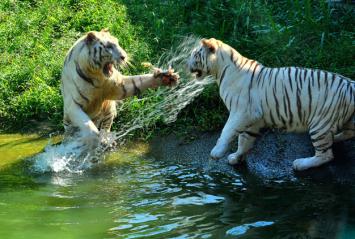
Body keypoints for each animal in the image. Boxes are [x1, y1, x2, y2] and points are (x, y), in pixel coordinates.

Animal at [188, 37, 354, 170]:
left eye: (195, 54)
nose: (186, 64)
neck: (221, 70)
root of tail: (351, 85)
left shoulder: (241, 112)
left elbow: (227, 131)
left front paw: (216, 153)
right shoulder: (252, 118)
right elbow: (244, 139)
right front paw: (237, 157)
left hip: (320, 123)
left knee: (326, 155)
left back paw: (301, 164)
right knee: (347, 134)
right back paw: (336, 138)